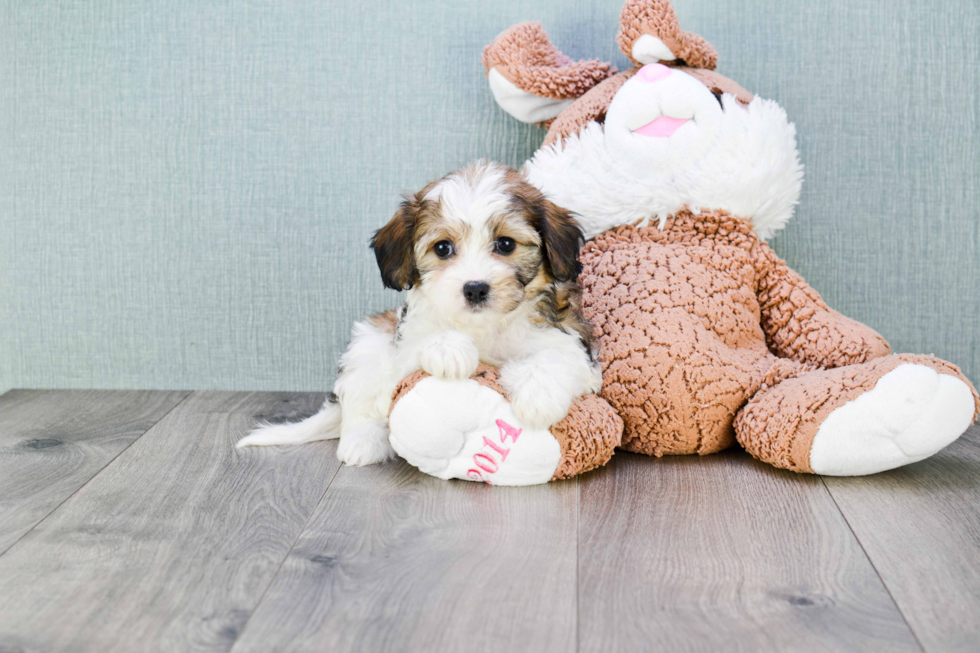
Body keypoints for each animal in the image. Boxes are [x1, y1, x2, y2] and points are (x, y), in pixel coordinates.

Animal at [241, 159, 600, 464]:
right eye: (443, 248)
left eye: (506, 244)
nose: (475, 288)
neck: (484, 327)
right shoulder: (405, 345)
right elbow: (420, 346)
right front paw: (450, 351)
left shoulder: (573, 345)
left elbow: (555, 358)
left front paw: (538, 398)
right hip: (369, 338)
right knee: (360, 400)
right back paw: (362, 442)